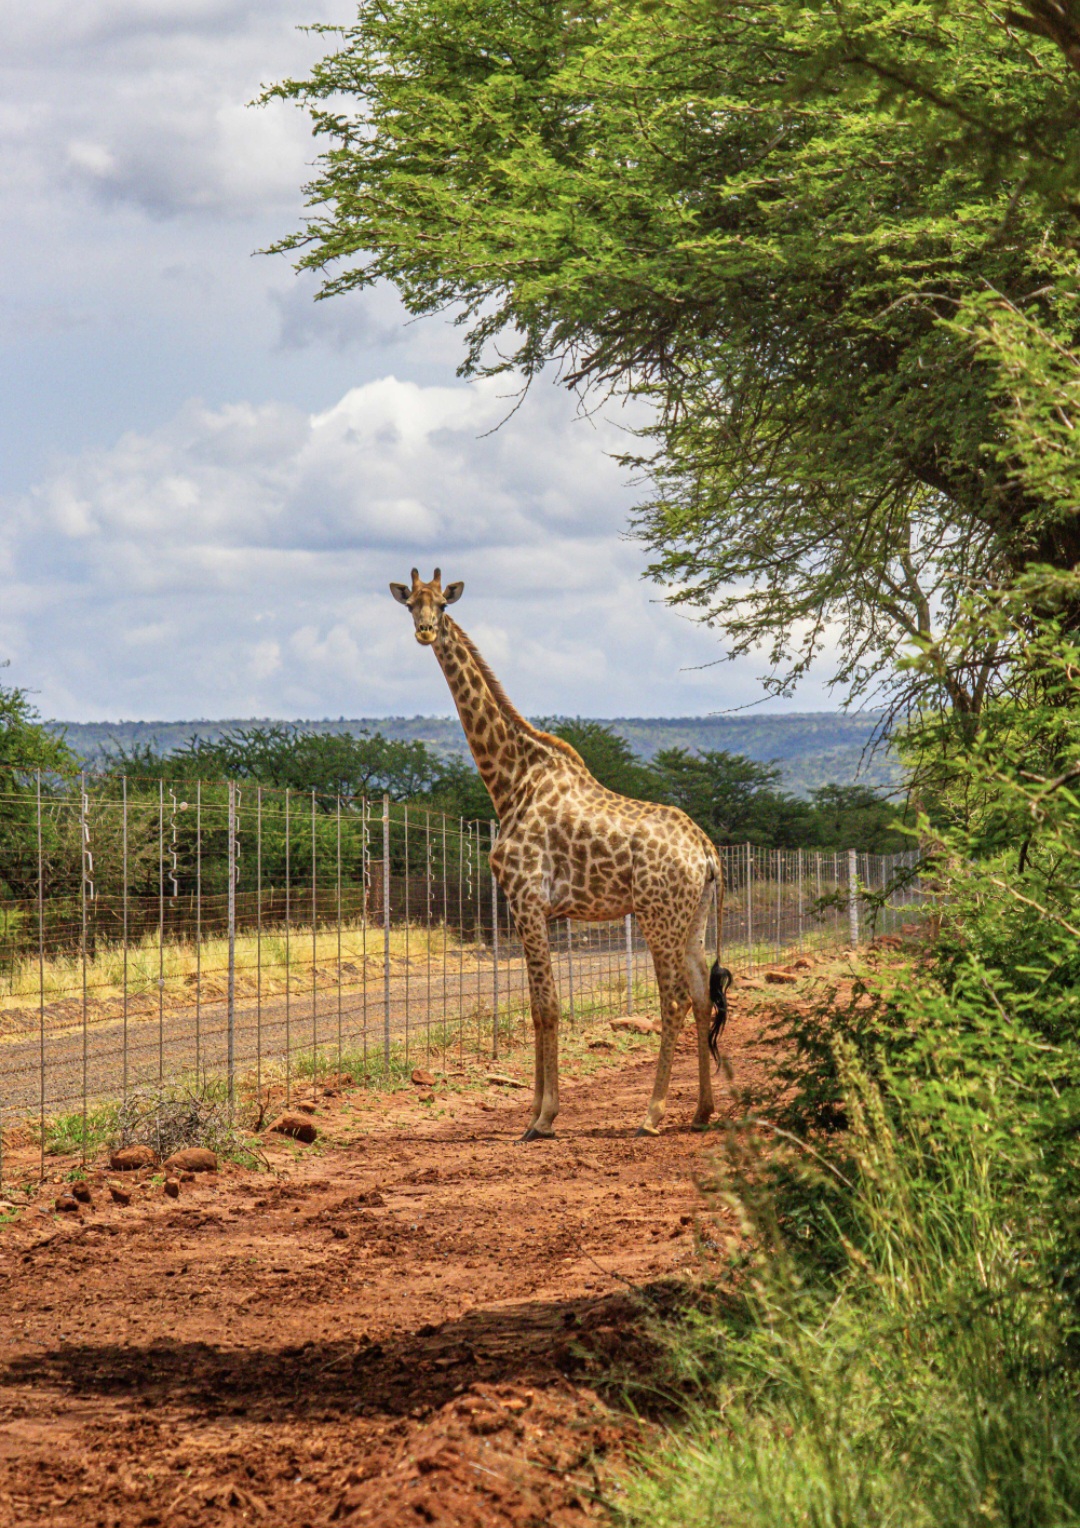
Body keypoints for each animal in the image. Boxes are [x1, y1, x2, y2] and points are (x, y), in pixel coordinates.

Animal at [389, 569, 732, 1140]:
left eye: (443, 604)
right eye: (410, 603)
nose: (424, 631)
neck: (510, 782)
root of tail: (706, 852)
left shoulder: (527, 899)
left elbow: (548, 1006)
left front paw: (545, 1118)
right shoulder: (530, 908)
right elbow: (534, 1006)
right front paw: (533, 1113)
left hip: (657, 914)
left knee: (675, 998)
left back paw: (652, 1114)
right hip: (694, 918)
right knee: (704, 995)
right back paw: (702, 1111)